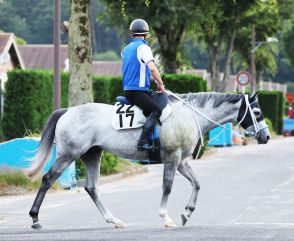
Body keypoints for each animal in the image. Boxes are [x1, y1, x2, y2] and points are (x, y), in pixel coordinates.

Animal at [24, 92, 270, 230]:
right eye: (257, 112)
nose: (266, 136)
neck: (189, 115)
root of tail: (68, 111)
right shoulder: (172, 157)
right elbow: (167, 186)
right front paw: (166, 217)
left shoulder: (181, 161)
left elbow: (197, 183)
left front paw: (187, 212)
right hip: (69, 154)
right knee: (47, 179)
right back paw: (35, 218)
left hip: (92, 155)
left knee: (91, 188)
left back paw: (113, 220)